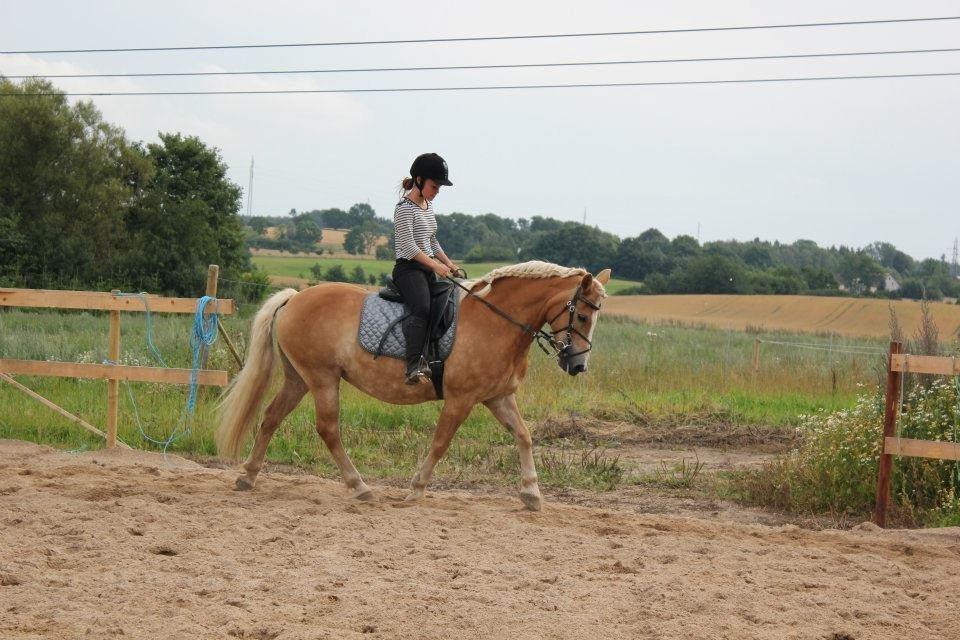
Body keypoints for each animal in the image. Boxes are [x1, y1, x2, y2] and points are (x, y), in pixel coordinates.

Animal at [215, 260, 612, 510]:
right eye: (583, 314)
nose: (577, 365)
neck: (497, 322)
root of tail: (295, 297)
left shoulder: (498, 397)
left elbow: (524, 436)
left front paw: (531, 494)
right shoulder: (461, 399)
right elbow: (440, 443)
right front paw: (416, 490)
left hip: (299, 379)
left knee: (271, 417)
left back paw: (248, 477)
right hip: (322, 378)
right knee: (328, 429)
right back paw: (360, 488)